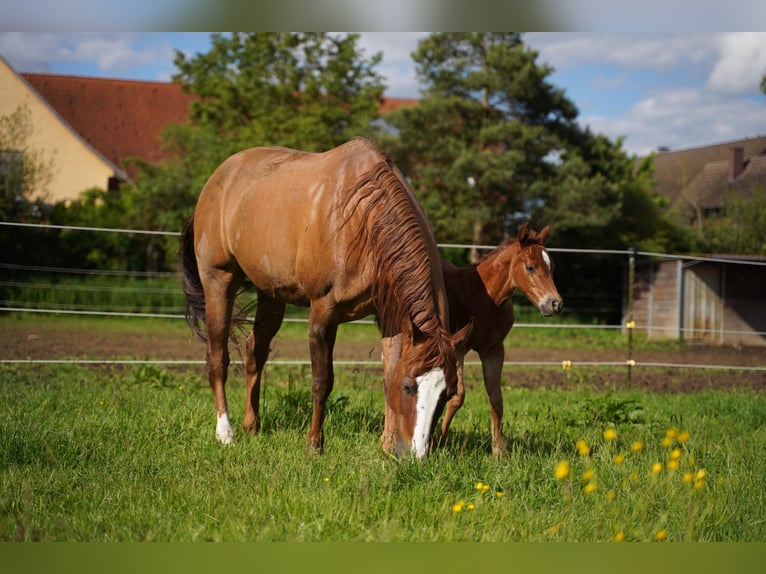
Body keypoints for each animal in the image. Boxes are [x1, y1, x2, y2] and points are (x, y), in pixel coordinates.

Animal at [179, 138, 470, 459]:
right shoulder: (323, 312)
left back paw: (251, 425)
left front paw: (386, 447)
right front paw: (314, 445)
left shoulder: (392, 319)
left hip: (270, 294)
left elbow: (387, 375)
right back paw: (225, 433)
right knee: (217, 357)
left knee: (255, 352)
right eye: (409, 387)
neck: (362, 218)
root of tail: (217, 178)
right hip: (218, 279)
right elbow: (322, 381)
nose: (416, 456)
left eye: (446, 394)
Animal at [438, 222, 563, 455]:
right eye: (530, 267)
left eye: (553, 267)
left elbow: (496, 399)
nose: (556, 304)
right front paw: (437, 440)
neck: (486, 296)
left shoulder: (494, 350)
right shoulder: (457, 347)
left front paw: (499, 451)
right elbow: (457, 395)